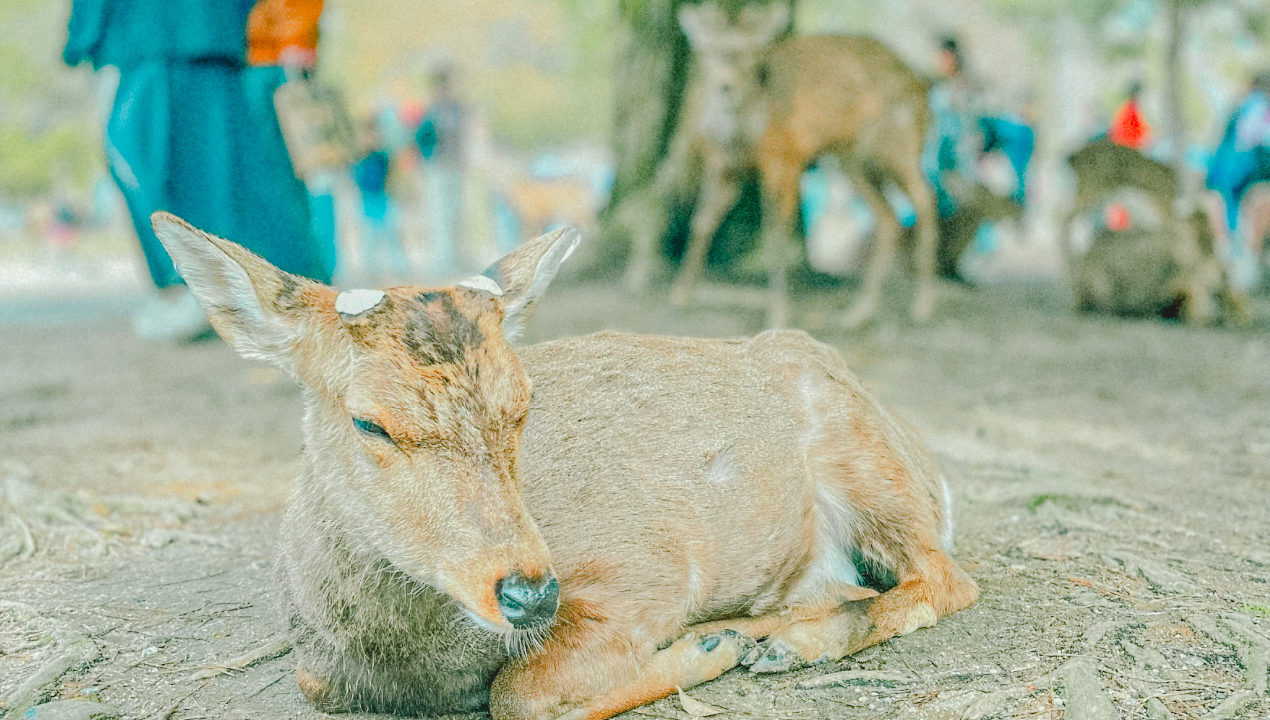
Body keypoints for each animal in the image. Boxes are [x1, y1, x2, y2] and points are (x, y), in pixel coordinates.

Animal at [151, 209, 980, 720]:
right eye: (370, 421)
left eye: (524, 403)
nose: (530, 591)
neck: (411, 664)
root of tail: (926, 461)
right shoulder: (316, 668)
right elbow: (315, 682)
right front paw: (722, 640)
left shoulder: (648, 566)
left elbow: (519, 694)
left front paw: (707, 646)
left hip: (869, 467)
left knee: (945, 577)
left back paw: (780, 641)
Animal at [619, 2, 939, 330]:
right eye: (708, 50)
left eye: (749, 53)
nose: (725, 86)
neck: (747, 135)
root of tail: (923, 91)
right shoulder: (725, 167)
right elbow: (702, 221)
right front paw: (682, 293)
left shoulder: (786, 159)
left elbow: (776, 234)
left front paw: (779, 312)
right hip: (853, 159)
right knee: (889, 216)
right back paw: (861, 311)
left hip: (895, 143)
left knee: (924, 198)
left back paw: (923, 305)